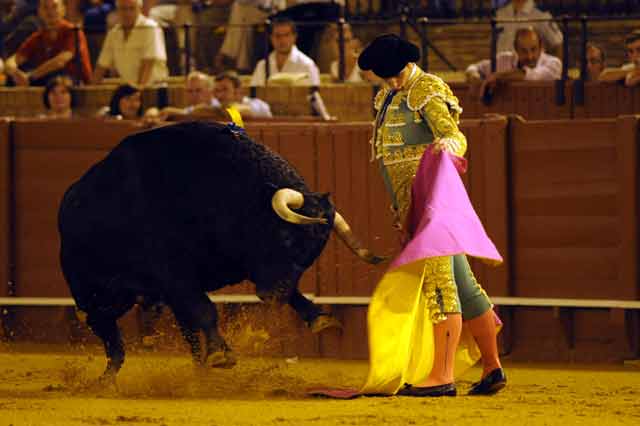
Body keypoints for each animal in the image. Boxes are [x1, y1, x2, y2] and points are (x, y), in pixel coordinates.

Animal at [57, 120, 382, 380]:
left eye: (313, 253)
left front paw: (320, 318)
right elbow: (205, 310)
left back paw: (196, 370)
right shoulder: (175, 274)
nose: (272, 298)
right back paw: (107, 378)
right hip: (96, 295)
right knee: (105, 329)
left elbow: (289, 290)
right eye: (286, 238)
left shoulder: (240, 269)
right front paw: (221, 355)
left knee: (182, 331)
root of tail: (69, 201)